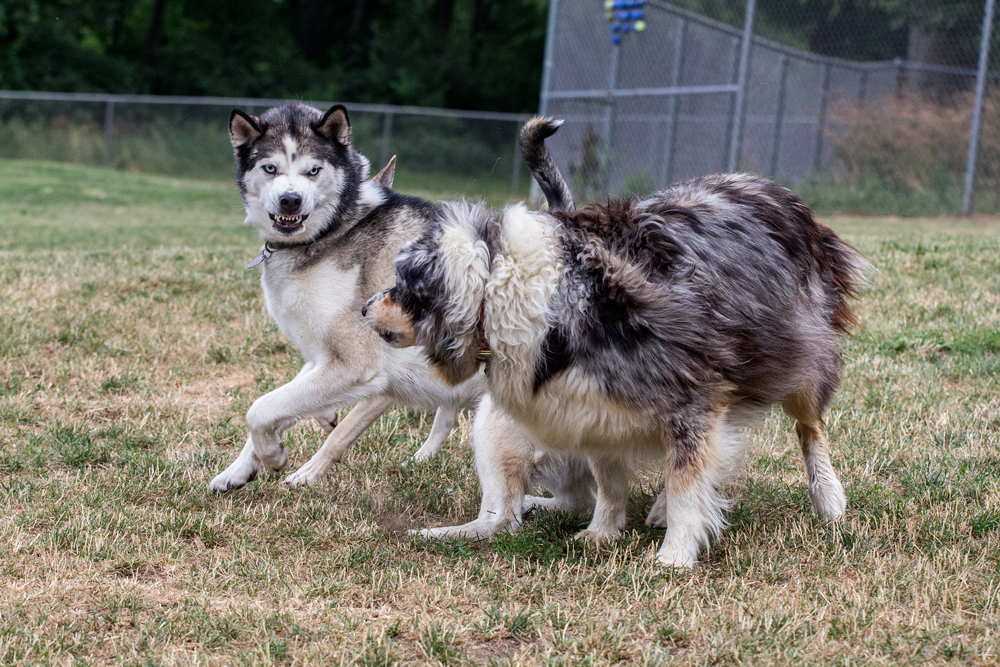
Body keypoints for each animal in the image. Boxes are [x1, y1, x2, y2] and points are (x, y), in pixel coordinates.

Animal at [362, 117, 868, 568]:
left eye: (401, 283)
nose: (365, 308)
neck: (513, 285)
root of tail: (772, 189)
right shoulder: (593, 408)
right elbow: (610, 482)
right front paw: (603, 533)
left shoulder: (691, 397)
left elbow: (688, 483)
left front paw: (675, 557)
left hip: (798, 356)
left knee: (809, 428)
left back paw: (828, 497)